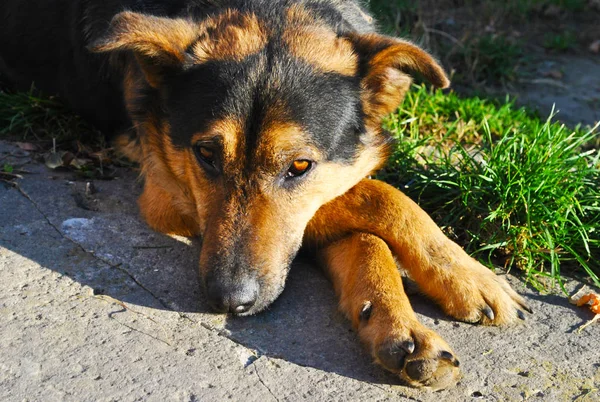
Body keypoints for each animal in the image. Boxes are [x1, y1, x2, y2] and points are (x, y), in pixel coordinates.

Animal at [2, 0, 532, 390]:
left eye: (299, 166)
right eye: (206, 154)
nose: (228, 302)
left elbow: (363, 222)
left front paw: (407, 316)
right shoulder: (168, 193)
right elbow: (378, 197)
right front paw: (466, 277)